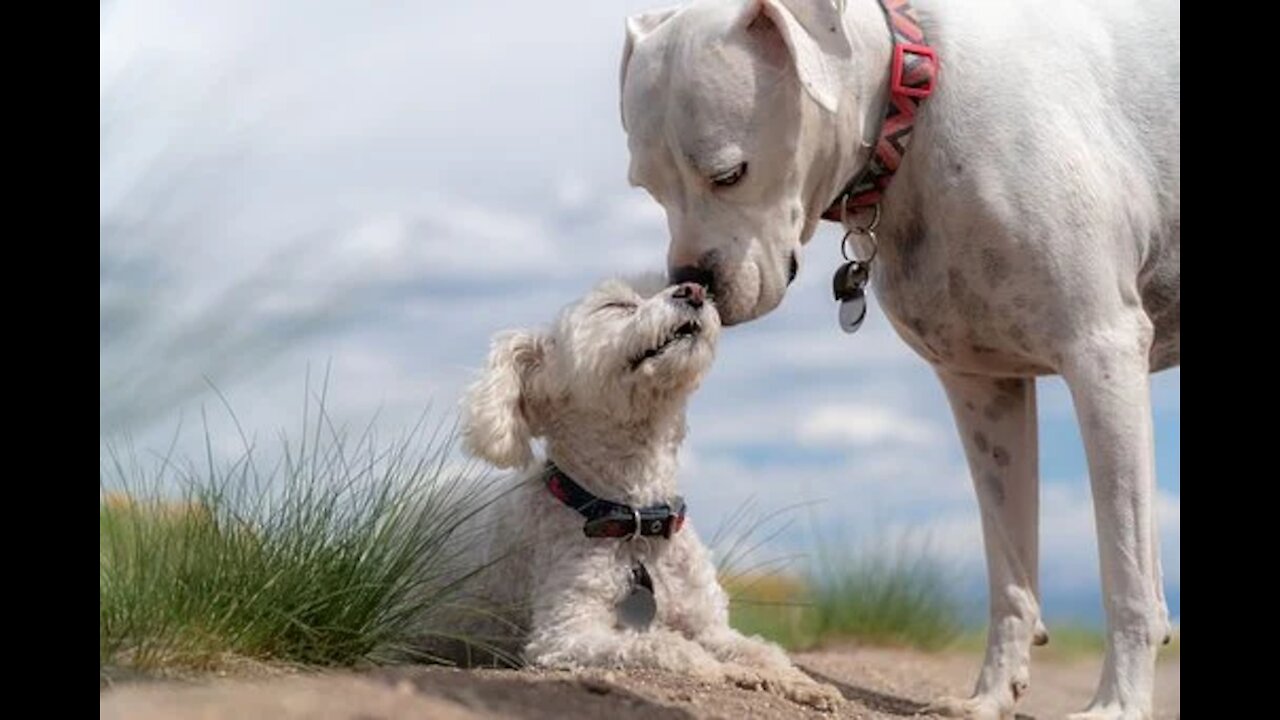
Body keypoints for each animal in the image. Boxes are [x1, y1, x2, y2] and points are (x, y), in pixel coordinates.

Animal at [458, 272, 839, 707]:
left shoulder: (710, 625)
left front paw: (803, 683)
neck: (638, 520)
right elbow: (667, 645)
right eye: (616, 306)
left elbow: (762, 650)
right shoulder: (565, 634)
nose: (694, 289)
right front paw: (728, 671)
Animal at [619, 1, 1177, 717]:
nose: (691, 283)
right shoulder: (983, 387)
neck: (913, 102)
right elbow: (1009, 568)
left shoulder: (1102, 354)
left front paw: (1119, 705)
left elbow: (1127, 570)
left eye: (728, 173)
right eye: (648, 188)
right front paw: (989, 696)